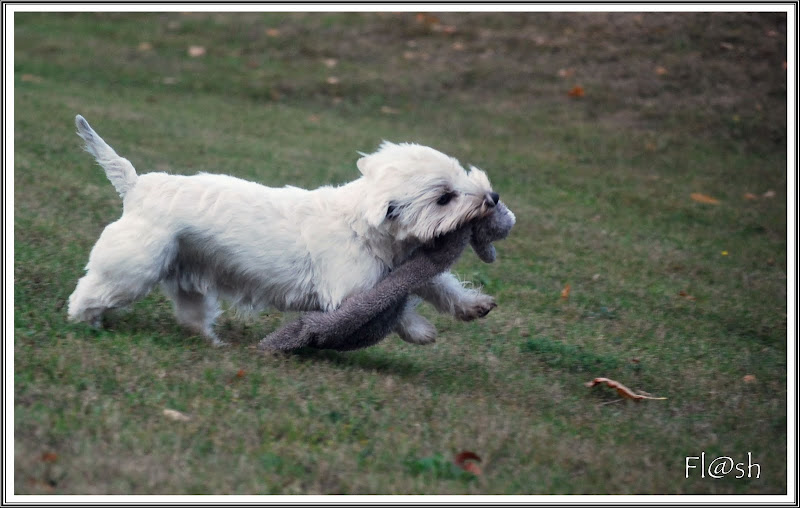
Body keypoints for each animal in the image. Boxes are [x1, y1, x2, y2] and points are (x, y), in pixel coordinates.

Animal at [72, 114, 504, 346]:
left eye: (460, 173)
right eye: (445, 197)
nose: (493, 197)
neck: (362, 227)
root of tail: (137, 186)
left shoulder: (406, 267)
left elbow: (439, 284)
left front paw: (473, 305)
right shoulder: (350, 292)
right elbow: (391, 307)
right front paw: (420, 331)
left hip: (188, 272)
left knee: (191, 314)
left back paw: (213, 341)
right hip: (136, 265)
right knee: (91, 290)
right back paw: (83, 322)